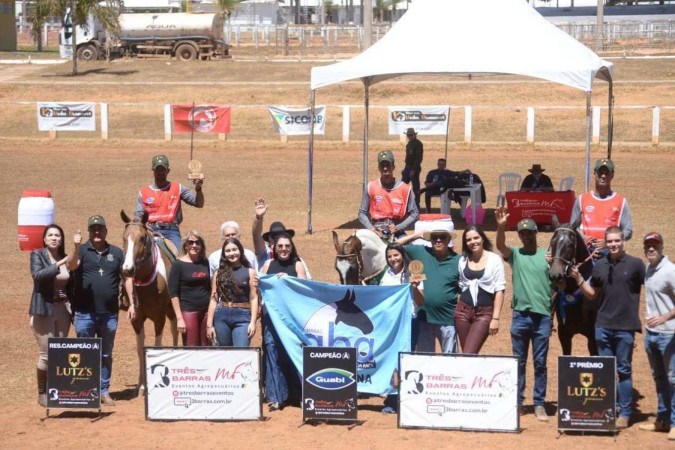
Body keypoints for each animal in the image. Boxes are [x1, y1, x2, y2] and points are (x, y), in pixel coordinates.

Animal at [121, 209, 178, 392]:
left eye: (142, 238)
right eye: (124, 238)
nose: (127, 269)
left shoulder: (159, 318)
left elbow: (157, 346)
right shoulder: (136, 319)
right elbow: (140, 350)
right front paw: (141, 384)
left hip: (171, 310)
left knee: (175, 330)